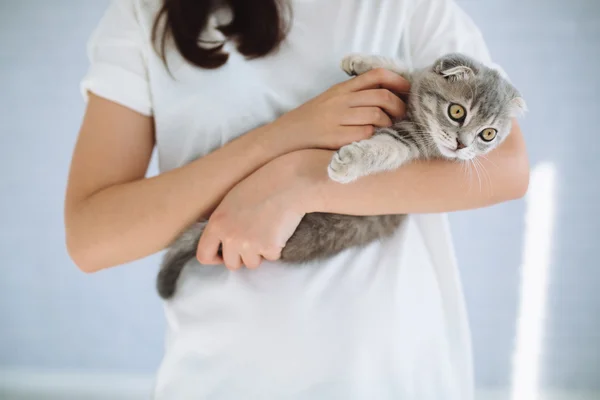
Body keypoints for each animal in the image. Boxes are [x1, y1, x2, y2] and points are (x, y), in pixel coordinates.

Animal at [157, 51, 528, 298]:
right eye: (457, 112)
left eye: (488, 135)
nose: (462, 145)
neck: (415, 116)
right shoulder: (410, 87)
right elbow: (405, 72)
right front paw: (361, 61)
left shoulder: (410, 146)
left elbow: (384, 149)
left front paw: (348, 161)